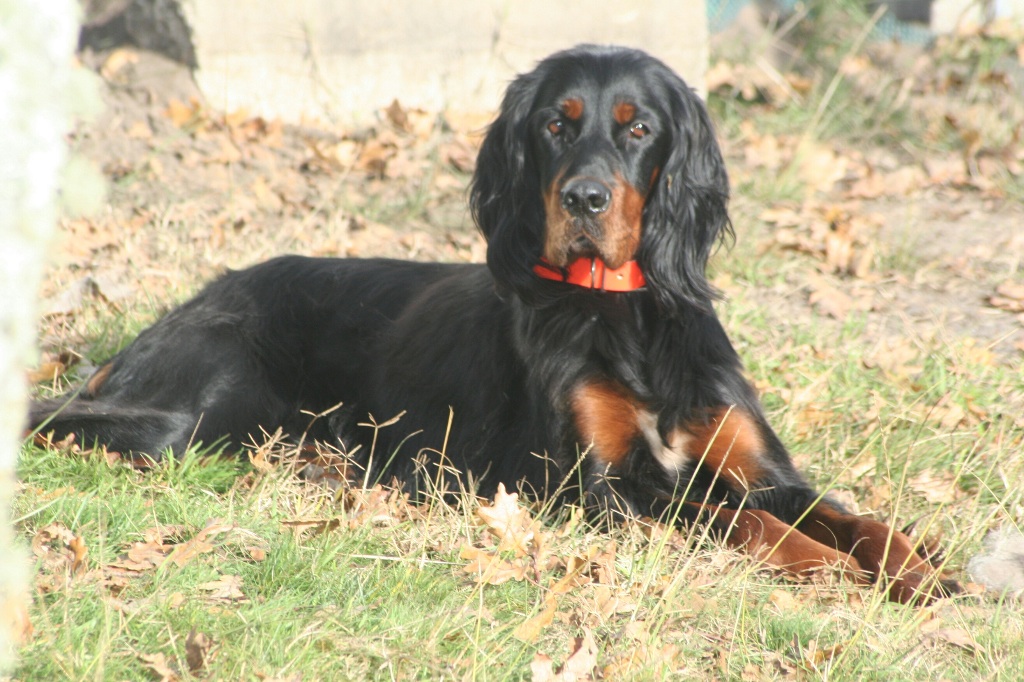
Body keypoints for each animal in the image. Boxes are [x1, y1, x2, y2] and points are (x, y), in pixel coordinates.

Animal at [32, 45, 958, 602]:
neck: (621, 310)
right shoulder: (599, 490)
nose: (585, 198)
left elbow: (850, 516)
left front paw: (918, 568)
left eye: (639, 129)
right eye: (555, 123)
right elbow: (735, 518)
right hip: (198, 406)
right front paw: (827, 571)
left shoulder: (761, 468)